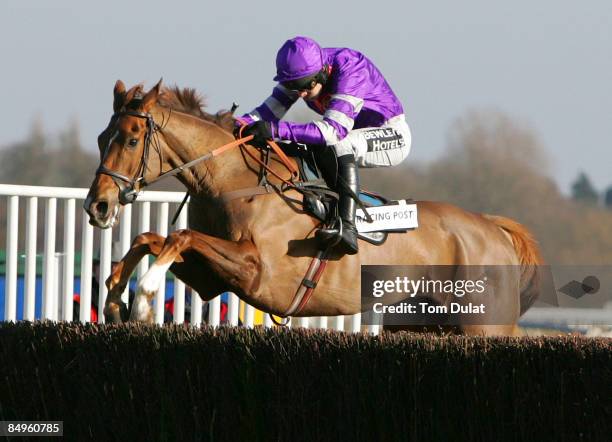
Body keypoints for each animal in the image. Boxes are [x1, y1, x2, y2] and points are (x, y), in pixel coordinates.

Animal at [83, 79, 544, 334]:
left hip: (484, 324)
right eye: (101, 138)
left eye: (131, 140)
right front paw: (114, 298)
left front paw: (144, 295)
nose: (98, 206)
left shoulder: (257, 271)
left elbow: (178, 235)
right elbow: (150, 238)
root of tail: (492, 227)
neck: (232, 182)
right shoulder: (211, 278)